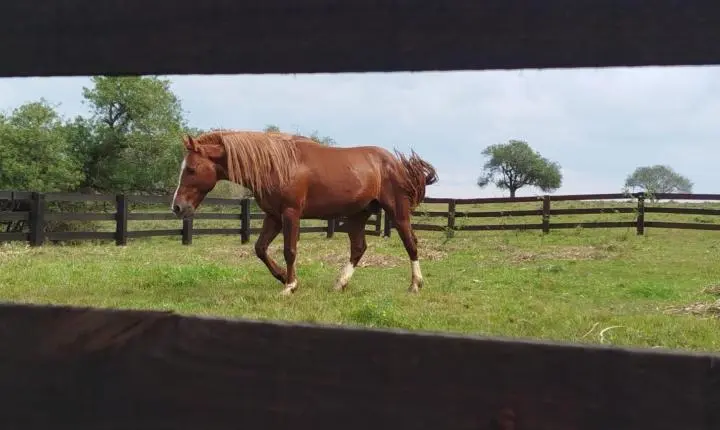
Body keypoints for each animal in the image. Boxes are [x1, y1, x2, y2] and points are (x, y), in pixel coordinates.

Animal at [170, 129, 438, 296]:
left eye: (191, 169)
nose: (177, 207)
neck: (276, 164)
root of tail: (396, 163)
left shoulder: (291, 214)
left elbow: (289, 250)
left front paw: (290, 285)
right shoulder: (274, 216)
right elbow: (260, 248)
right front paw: (281, 276)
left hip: (397, 212)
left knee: (410, 243)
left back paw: (415, 285)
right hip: (358, 215)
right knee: (359, 248)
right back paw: (339, 283)